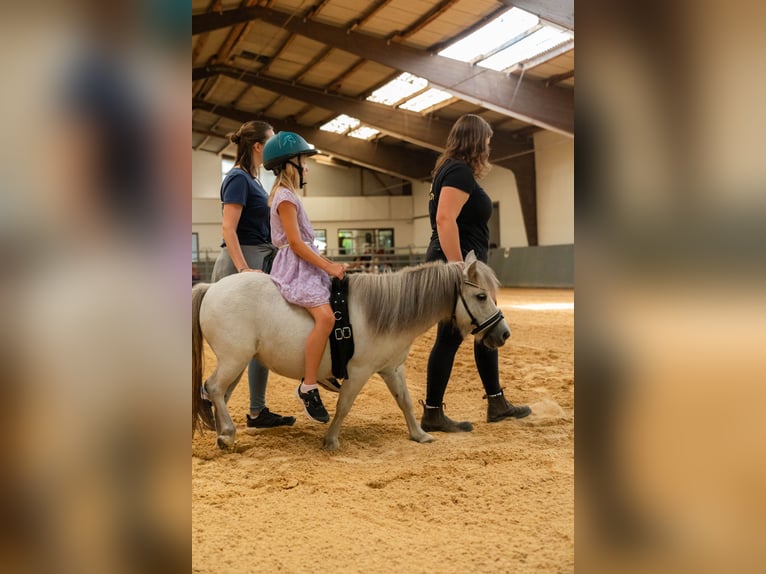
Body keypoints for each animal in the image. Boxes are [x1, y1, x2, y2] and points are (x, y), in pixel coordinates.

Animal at [194, 254, 510, 452]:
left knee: (218, 393)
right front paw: (331, 440)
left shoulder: (392, 369)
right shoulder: (359, 371)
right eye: (481, 296)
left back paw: (222, 432)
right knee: (213, 388)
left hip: (237, 361)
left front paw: (419, 435)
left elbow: (405, 402)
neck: (384, 313)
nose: (503, 333)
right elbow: (344, 405)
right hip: (234, 359)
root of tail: (212, 287)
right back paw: (227, 434)